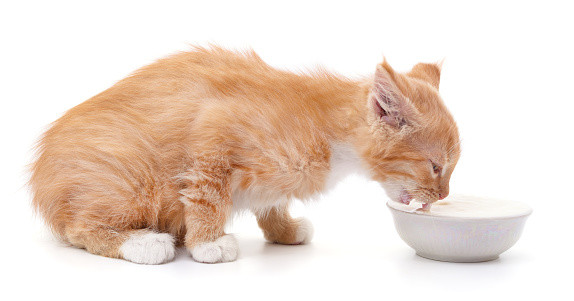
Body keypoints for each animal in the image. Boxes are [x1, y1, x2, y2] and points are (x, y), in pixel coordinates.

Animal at [30, 45, 464, 264]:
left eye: (448, 169)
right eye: (436, 166)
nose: (444, 195)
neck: (325, 127)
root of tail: (42, 184)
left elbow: (270, 200)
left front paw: (284, 230)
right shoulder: (212, 133)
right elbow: (207, 196)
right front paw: (207, 244)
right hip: (131, 184)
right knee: (79, 230)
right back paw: (143, 243)